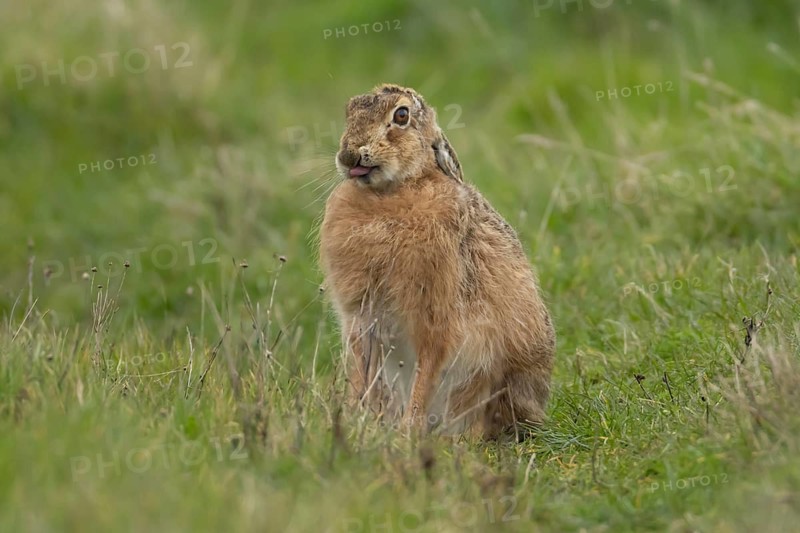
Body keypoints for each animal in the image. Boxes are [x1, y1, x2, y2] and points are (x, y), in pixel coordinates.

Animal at [319, 83, 555, 439]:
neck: (393, 191)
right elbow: (363, 372)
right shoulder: (360, 318)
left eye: (401, 115)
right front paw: (356, 420)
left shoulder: (435, 316)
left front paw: (407, 431)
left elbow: (427, 368)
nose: (349, 155)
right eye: (350, 110)